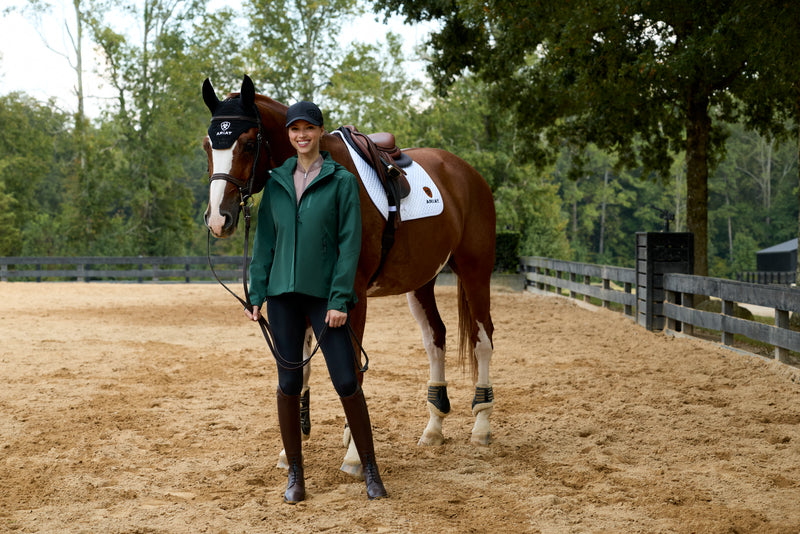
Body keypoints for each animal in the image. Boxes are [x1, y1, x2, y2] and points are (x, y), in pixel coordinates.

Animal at [202, 75, 496, 475]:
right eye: (207, 145)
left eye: (247, 143)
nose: (219, 218)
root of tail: (467, 172)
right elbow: (302, 368)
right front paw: (291, 451)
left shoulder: (351, 296)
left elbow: (352, 369)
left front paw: (355, 455)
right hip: (422, 283)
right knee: (436, 338)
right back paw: (433, 428)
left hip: (475, 271)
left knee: (483, 339)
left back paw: (481, 426)